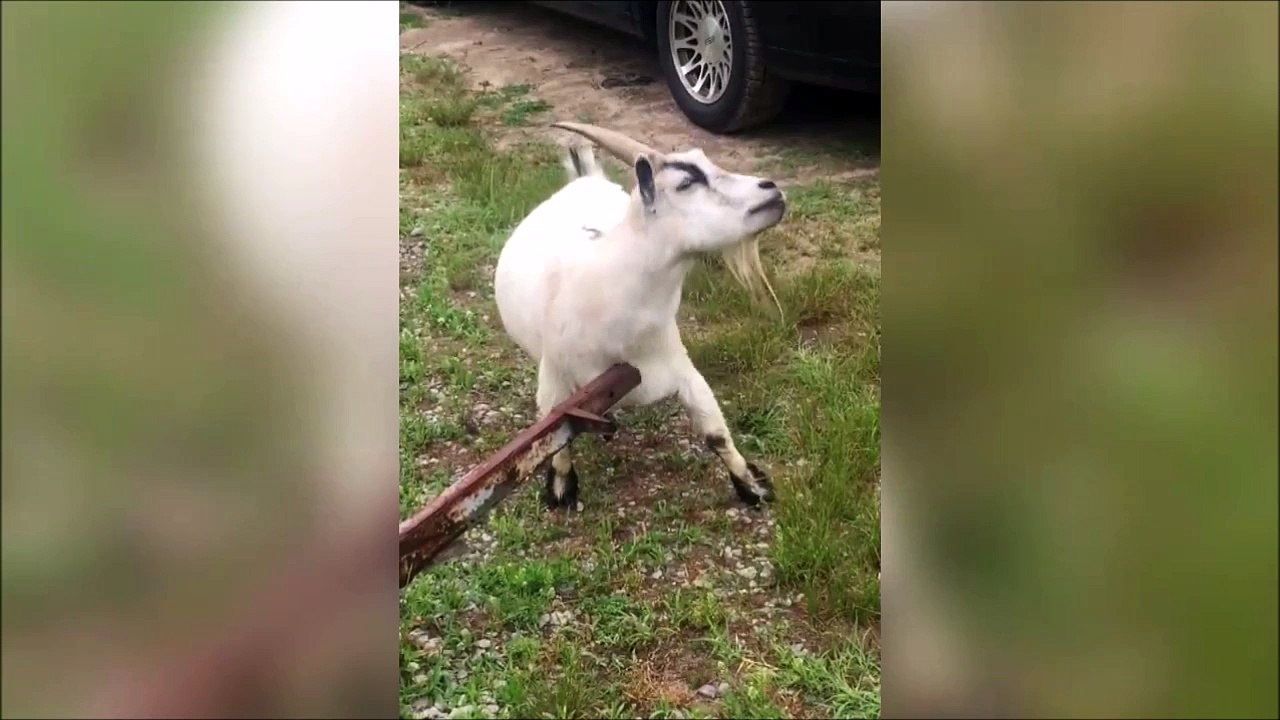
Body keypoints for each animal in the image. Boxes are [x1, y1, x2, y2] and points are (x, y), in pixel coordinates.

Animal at [493, 122, 787, 510]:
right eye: (686, 183)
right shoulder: (554, 375)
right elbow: (553, 437)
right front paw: (560, 490)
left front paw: (752, 485)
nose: (772, 189)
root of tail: (585, 178)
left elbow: (715, 433)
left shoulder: (679, 364)